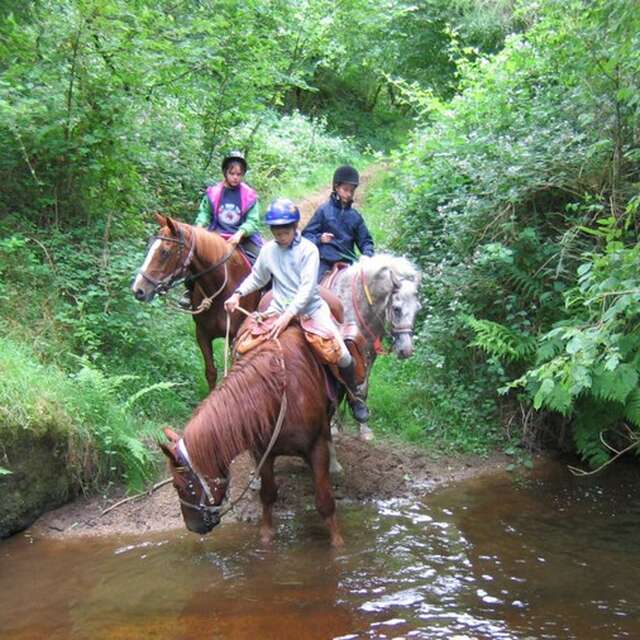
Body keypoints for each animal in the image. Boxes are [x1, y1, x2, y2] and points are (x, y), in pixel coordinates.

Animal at [131, 214, 260, 389]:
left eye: (165, 252)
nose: (138, 290)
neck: (220, 289)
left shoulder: (236, 338)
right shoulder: (202, 333)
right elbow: (211, 372)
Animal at [159, 325, 344, 547]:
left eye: (179, 486)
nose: (192, 527)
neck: (277, 398)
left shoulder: (316, 447)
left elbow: (325, 502)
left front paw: (337, 544)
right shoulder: (263, 452)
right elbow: (268, 494)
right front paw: (266, 537)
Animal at [326, 253, 421, 441]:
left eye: (417, 309)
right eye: (396, 308)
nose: (406, 350)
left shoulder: (368, 353)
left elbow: (362, 387)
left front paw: (363, 425)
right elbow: (337, 385)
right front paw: (333, 427)